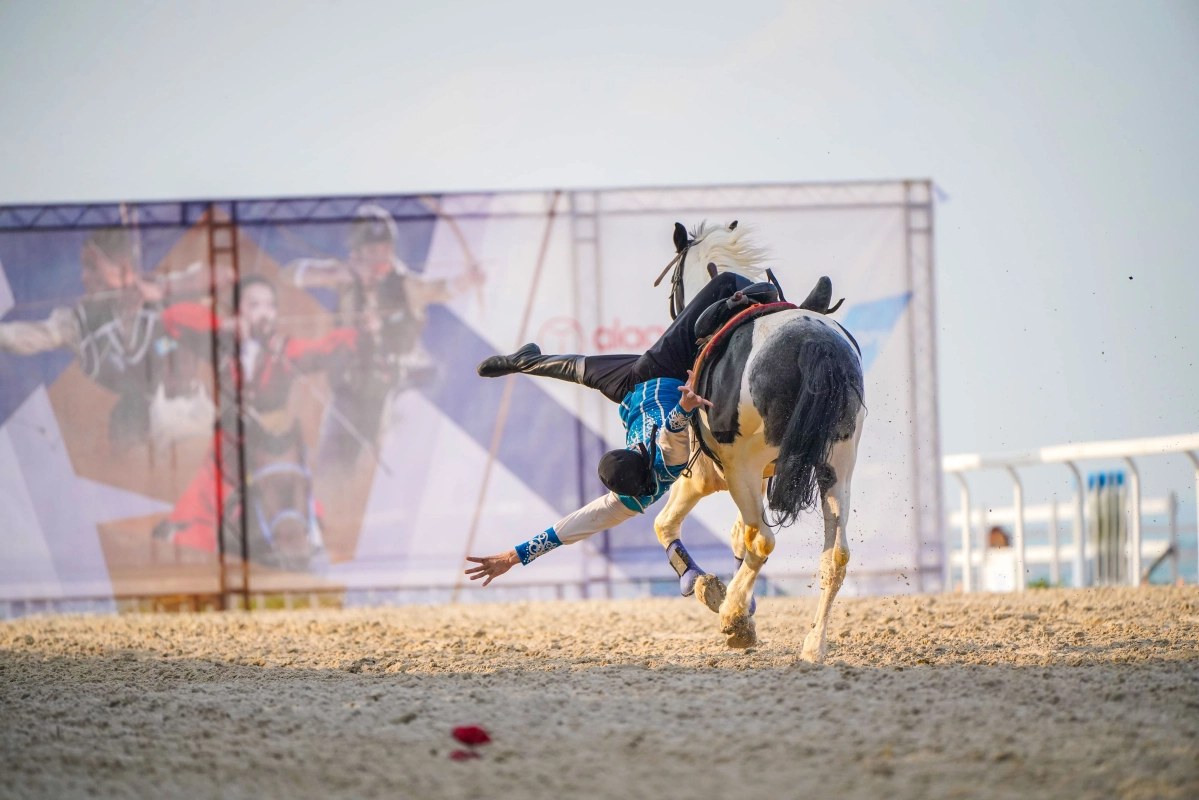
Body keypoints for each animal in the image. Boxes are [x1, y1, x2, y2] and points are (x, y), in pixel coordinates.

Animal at [652, 221, 858, 662]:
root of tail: (814, 342)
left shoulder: (708, 474)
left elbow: (666, 524)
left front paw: (714, 594)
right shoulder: (758, 475)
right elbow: (736, 536)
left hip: (741, 472)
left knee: (763, 539)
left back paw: (732, 618)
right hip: (837, 468)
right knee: (835, 555)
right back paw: (814, 645)